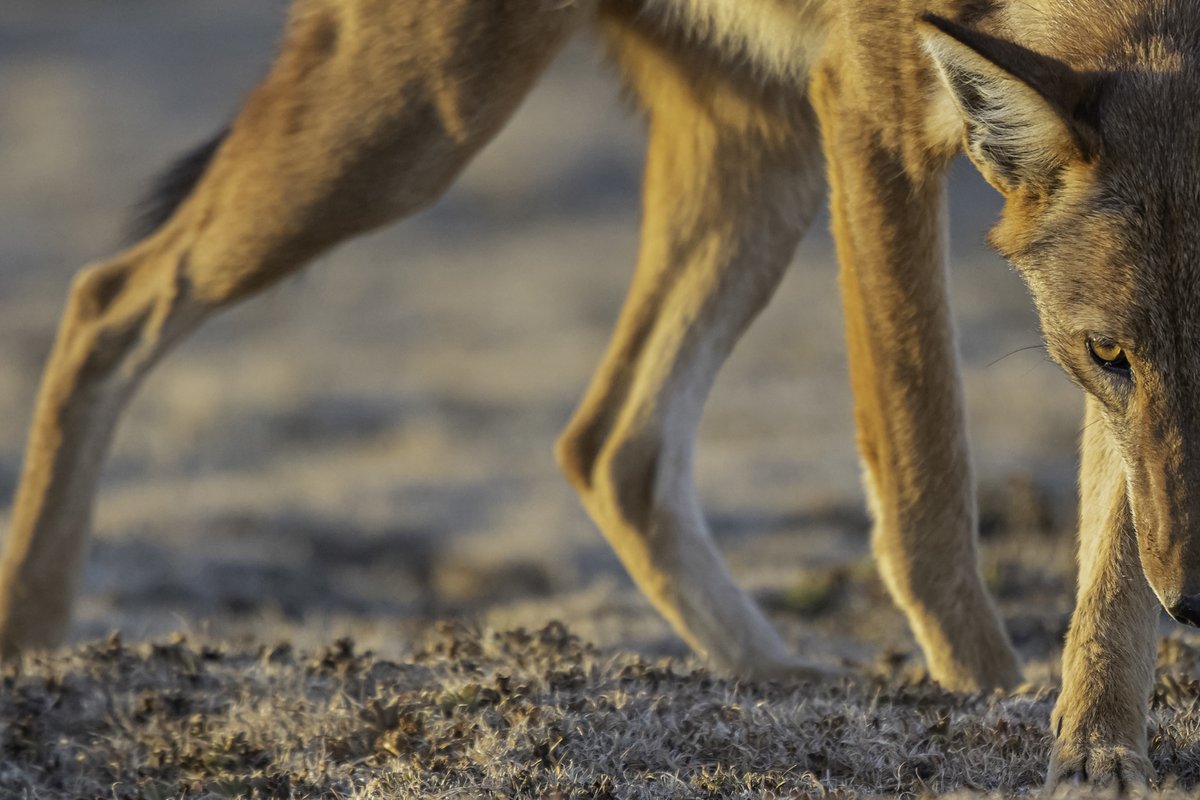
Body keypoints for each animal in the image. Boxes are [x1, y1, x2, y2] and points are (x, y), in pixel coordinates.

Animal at [0, 0, 1194, 786]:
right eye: (1107, 351)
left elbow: (1113, 556)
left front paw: (1098, 745)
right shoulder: (875, 109)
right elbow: (927, 485)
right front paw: (988, 695)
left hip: (756, 165)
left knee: (610, 446)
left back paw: (778, 680)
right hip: (414, 132)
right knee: (103, 301)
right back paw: (36, 634)